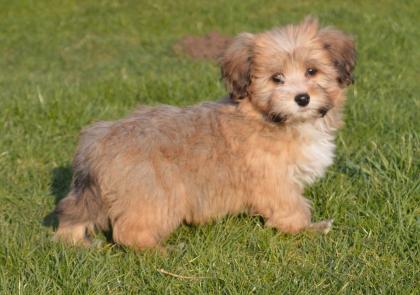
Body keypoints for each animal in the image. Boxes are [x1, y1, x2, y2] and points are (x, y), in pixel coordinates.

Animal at [53, 17, 354, 251]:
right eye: (276, 78)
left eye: (312, 71)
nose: (302, 98)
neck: (267, 117)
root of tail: (98, 141)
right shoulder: (274, 180)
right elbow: (291, 207)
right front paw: (309, 228)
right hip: (155, 194)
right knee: (130, 232)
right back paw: (162, 251)